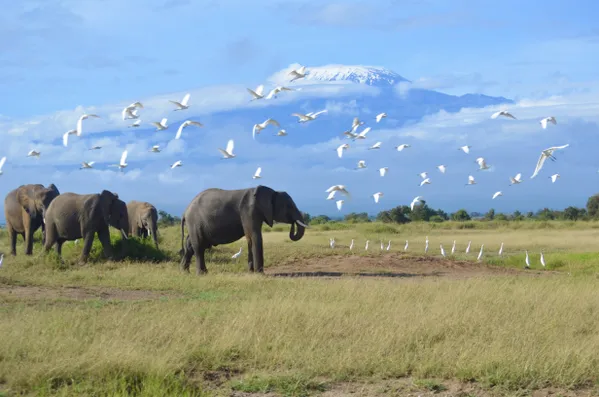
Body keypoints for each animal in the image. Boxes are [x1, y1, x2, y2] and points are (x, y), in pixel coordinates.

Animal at [178, 185, 310, 272]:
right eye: (289, 206)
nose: (293, 224)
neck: (271, 191)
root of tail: (184, 212)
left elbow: (250, 238)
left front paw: (251, 272)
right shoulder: (249, 211)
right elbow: (255, 236)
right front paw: (259, 273)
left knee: (190, 245)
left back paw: (185, 272)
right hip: (194, 221)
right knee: (199, 246)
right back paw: (202, 274)